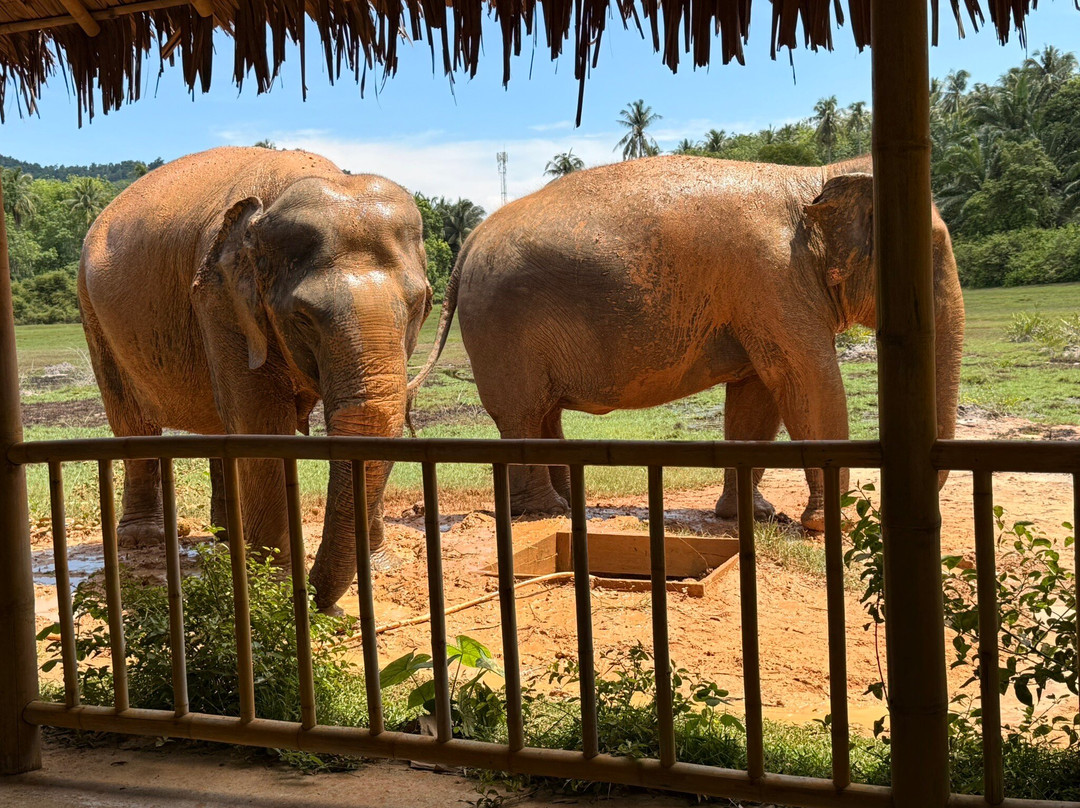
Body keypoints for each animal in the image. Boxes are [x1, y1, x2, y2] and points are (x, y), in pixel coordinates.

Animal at [79, 147, 432, 612]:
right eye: (303, 317)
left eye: (418, 306)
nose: (318, 599)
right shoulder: (220, 299)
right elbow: (261, 424)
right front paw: (273, 588)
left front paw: (380, 568)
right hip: (92, 311)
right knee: (132, 421)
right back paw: (144, 542)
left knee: (219, 426)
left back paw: (227, 540)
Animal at [409, 155, 964, 530]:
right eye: (928, 251)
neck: (814, 177)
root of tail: (468, 244)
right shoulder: (774, 281)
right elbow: (809, 383)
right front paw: (831, 525)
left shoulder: (763, 296)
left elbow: (757, 399)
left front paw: (756, 517)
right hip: (501, 324)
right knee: (522, 413)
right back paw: (546, 512)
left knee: (545, 412)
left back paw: (568, 505)